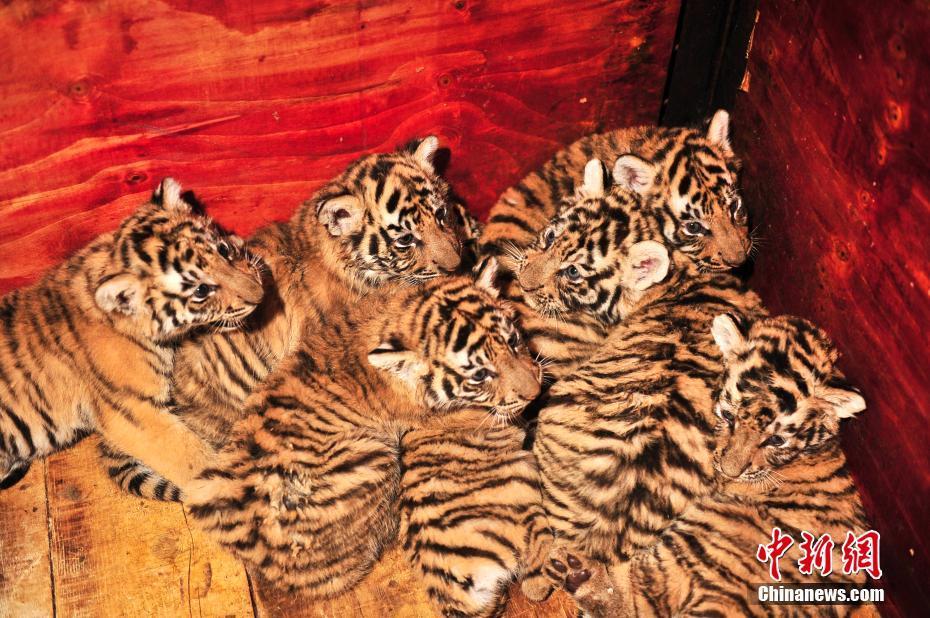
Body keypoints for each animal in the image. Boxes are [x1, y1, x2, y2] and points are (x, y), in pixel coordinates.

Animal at [545, 315, 879, 618]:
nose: (729, 473)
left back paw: (577, 572)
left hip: (697, 536)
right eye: (729, 417)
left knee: (640, 601)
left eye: (776, 440)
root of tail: (733, 604)